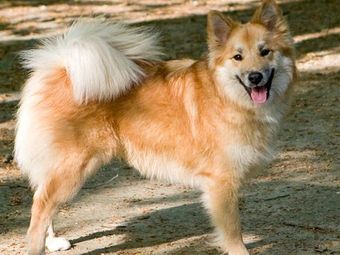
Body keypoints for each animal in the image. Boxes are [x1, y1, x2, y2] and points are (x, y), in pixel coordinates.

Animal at [15, 0, 294, 254]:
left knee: (44, 200)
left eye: (265, 52)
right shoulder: (222, 184)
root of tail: (61, 67)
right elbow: (234, 236)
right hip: (73, 167)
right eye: (238, 57)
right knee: (39, 207)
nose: (255, 77)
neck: (226, 95)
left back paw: (53, 242)